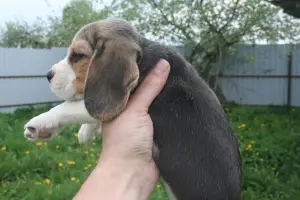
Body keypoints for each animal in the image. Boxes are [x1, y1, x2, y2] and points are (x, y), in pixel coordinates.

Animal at [24, 18, 243, 200]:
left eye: (77, 56)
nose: (48, 75)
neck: (143, 56)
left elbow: (72, 106)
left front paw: (41, 124)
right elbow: (91, 108)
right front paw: (87, 131)